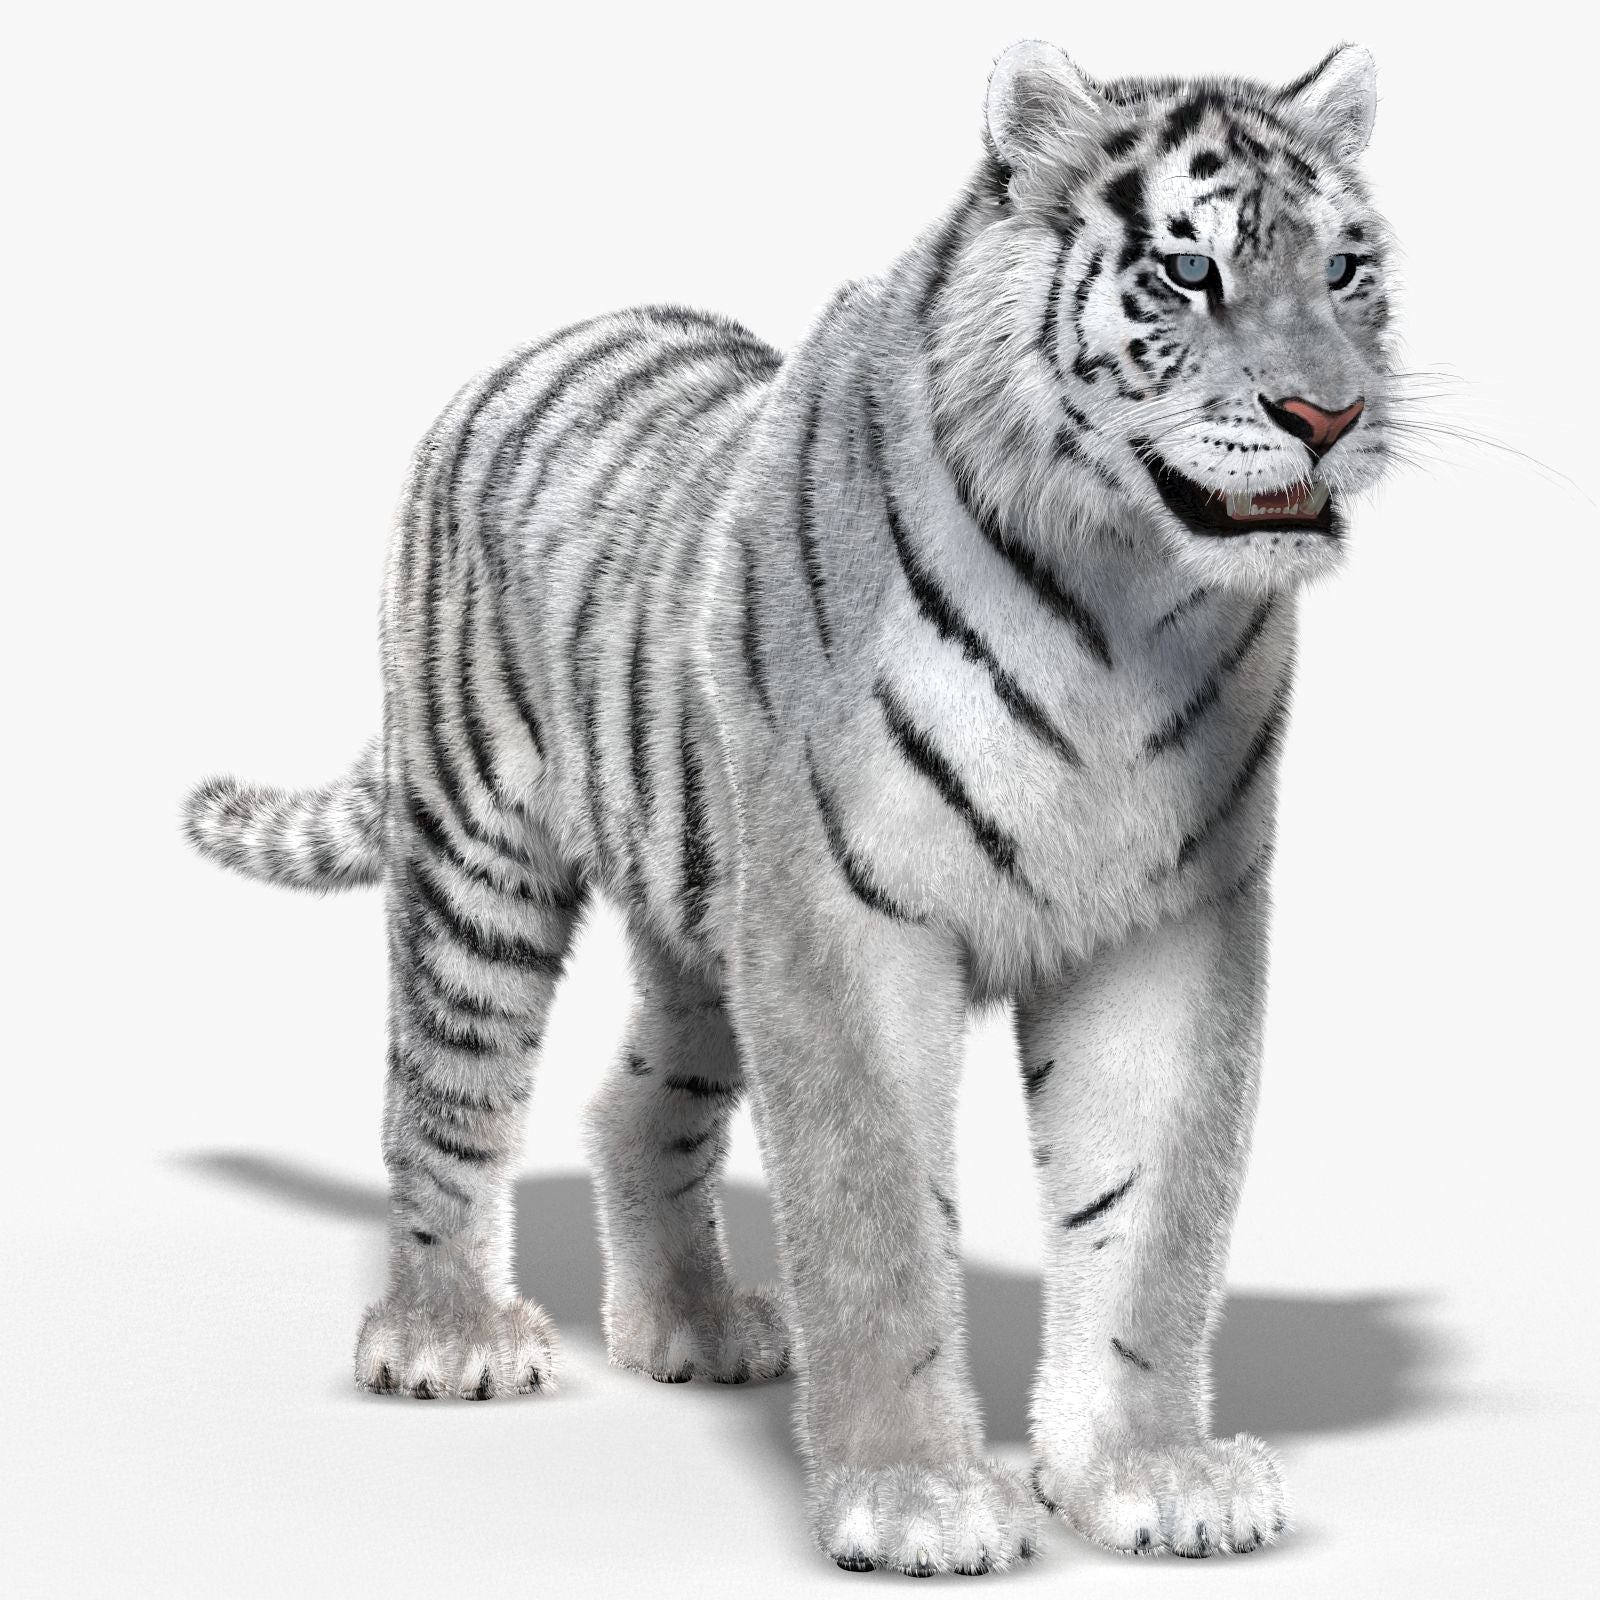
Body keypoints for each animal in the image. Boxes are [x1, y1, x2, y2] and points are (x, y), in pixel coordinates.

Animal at [184, 38, 1397, 1576]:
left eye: (1346, 268)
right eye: (1191, 272)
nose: (1331, 416)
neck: (1123, 597)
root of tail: (523, 353)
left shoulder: (1169, 925)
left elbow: (1150, 1220)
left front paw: (1153, 1473)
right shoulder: (844, 920)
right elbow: (876, 1223)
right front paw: (917, 1500)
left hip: (706, 919)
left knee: (633, 1108)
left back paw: (694, 1326)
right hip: (480, 861)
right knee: (443, 1100)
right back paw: (450, 1337)